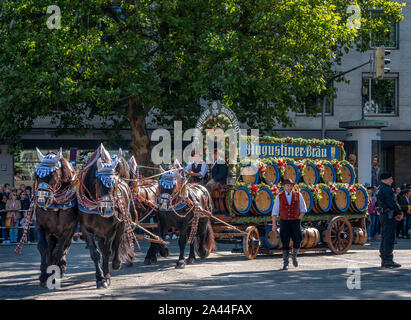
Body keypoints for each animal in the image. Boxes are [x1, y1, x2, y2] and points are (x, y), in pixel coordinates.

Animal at [34, 148, 79, 288]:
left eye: (53, 174)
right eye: (36, 175)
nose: (41, 199)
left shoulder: (67, 229)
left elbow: (59, 250)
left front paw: (53, 274)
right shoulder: (41, 225)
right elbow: (43, 247)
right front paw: (44, 275)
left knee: (64, 248)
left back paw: (60, 267)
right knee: (50, 248)